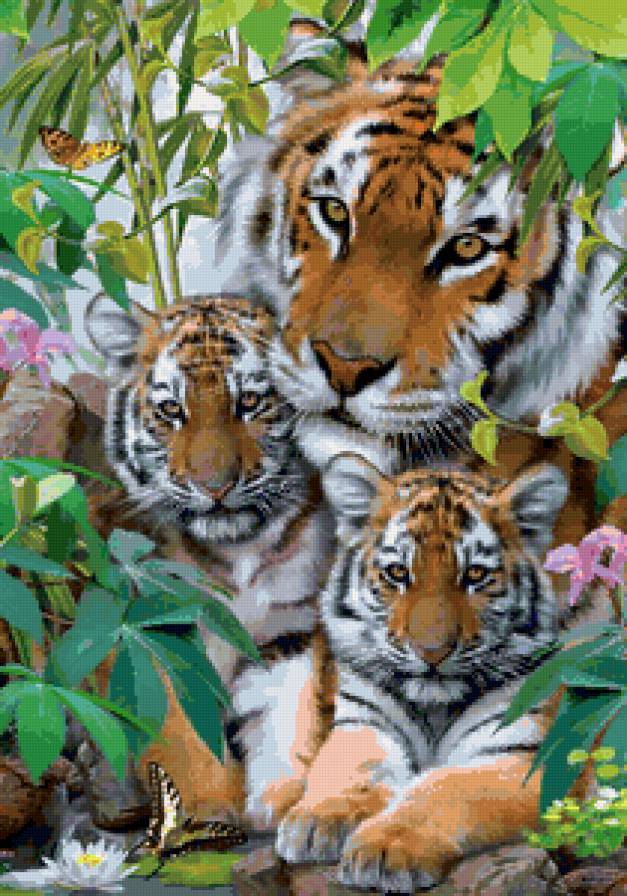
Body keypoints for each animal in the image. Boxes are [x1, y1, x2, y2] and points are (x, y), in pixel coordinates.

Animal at [84, 292, 336, 830]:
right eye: (171, 410)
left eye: (250, 402)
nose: (214, 486)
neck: (235, 548)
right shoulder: (151, 627)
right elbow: (178, 722)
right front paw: (208, 806)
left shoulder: (294, 622)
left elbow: (287, 703)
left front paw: (280, 796)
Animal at [276, 452, 570, 892]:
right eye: (398, 573)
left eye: (475, 575)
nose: (432, 651)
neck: (434, 707)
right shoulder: (364, 722)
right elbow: (350, 768)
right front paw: (318, 819)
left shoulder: (522, 757)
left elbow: (446, 787)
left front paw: (386, 847)